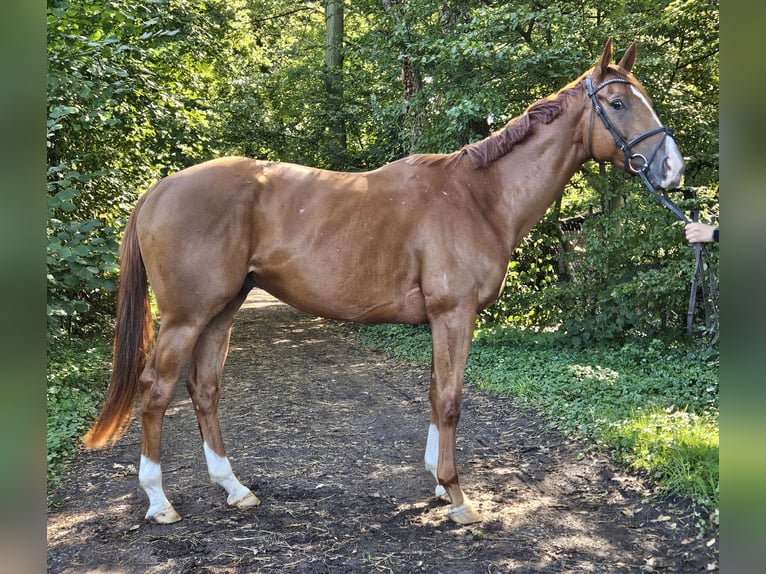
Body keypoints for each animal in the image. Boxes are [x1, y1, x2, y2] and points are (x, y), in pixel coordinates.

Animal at [82, 39, 684, 528]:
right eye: (617, 103)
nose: (673, 169)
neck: (479, 197)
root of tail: (159, 189)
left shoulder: (442, 319)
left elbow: (434, 392)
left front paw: (438, 482)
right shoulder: (454, 314)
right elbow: (450, 399)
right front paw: (458, 497)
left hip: (222, 310)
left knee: (203, 390)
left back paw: (234, 489)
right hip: (186, 316)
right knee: (155, 392)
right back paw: (159, 502)